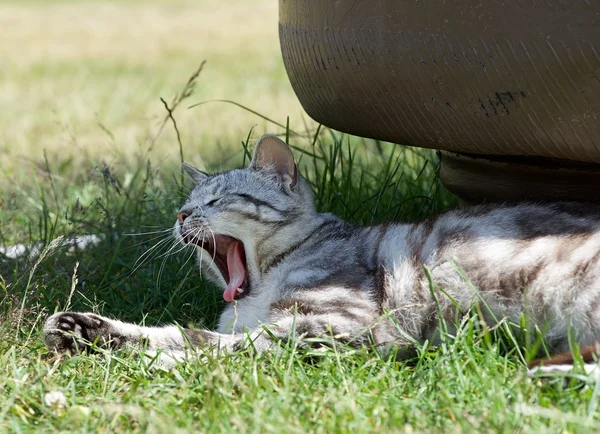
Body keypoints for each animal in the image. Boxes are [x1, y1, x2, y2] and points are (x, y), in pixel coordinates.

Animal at [43, 136, 600, 372]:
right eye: (187, 202)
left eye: (216, 201)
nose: (181, 216)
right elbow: (178, 332)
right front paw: (89, 332)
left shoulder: (339, 325)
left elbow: (218, 344)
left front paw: (156, 360)